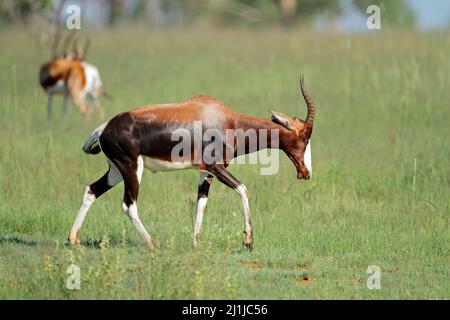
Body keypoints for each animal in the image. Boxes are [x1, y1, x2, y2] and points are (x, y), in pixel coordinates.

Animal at [70, 75, 314, 250]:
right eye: (304, 137)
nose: (306, 172)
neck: (225, 119)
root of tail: (103, 128)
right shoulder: (215, 166)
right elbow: (243, 189)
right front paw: (248, 240)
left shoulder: (206, 171)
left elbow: (201, 202)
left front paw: (195, 242)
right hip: (132, 169)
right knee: (129, 205)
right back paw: (151, 244)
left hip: (115, 170)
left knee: (91, 190)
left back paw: (72, 239)